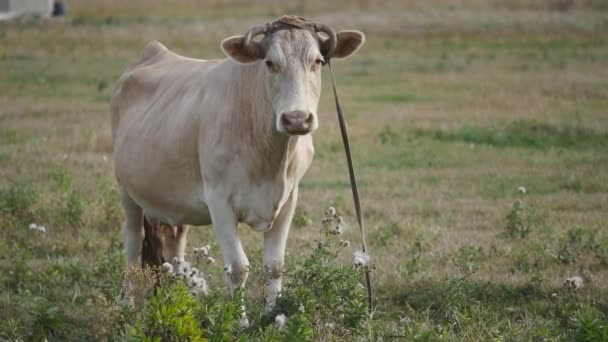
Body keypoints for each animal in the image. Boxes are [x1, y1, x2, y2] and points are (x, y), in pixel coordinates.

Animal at [110, 14, 366, 308]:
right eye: (270, 63)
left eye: (317, 61)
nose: (297, 119)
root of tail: (153, 52)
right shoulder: (219, 201)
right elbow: (238, 268)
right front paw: (240, 318)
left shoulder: (289, 199)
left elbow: (274, 266)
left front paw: (272, 314)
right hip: (127, 190)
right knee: (133, 242)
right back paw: (127, 303)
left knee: (175, 244)